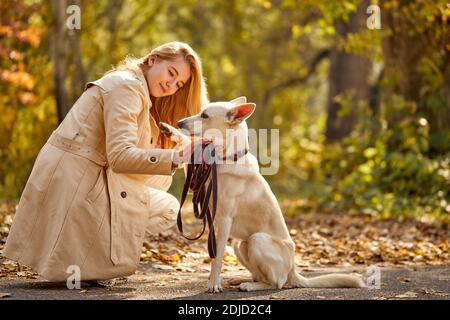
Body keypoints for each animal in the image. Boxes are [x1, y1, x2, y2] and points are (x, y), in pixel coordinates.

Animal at [158, 97, 366, 292]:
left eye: (205, 115)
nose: (179, 122)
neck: (225, 156)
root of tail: (294, 271)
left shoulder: (224, 220)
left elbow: (217, 257)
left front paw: (214, 284)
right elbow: (187, 146)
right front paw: (170, 130)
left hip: (257, 240)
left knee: (276, 283)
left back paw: (251, 286)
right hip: (240, 245)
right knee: (260, 275)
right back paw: (241, 280)